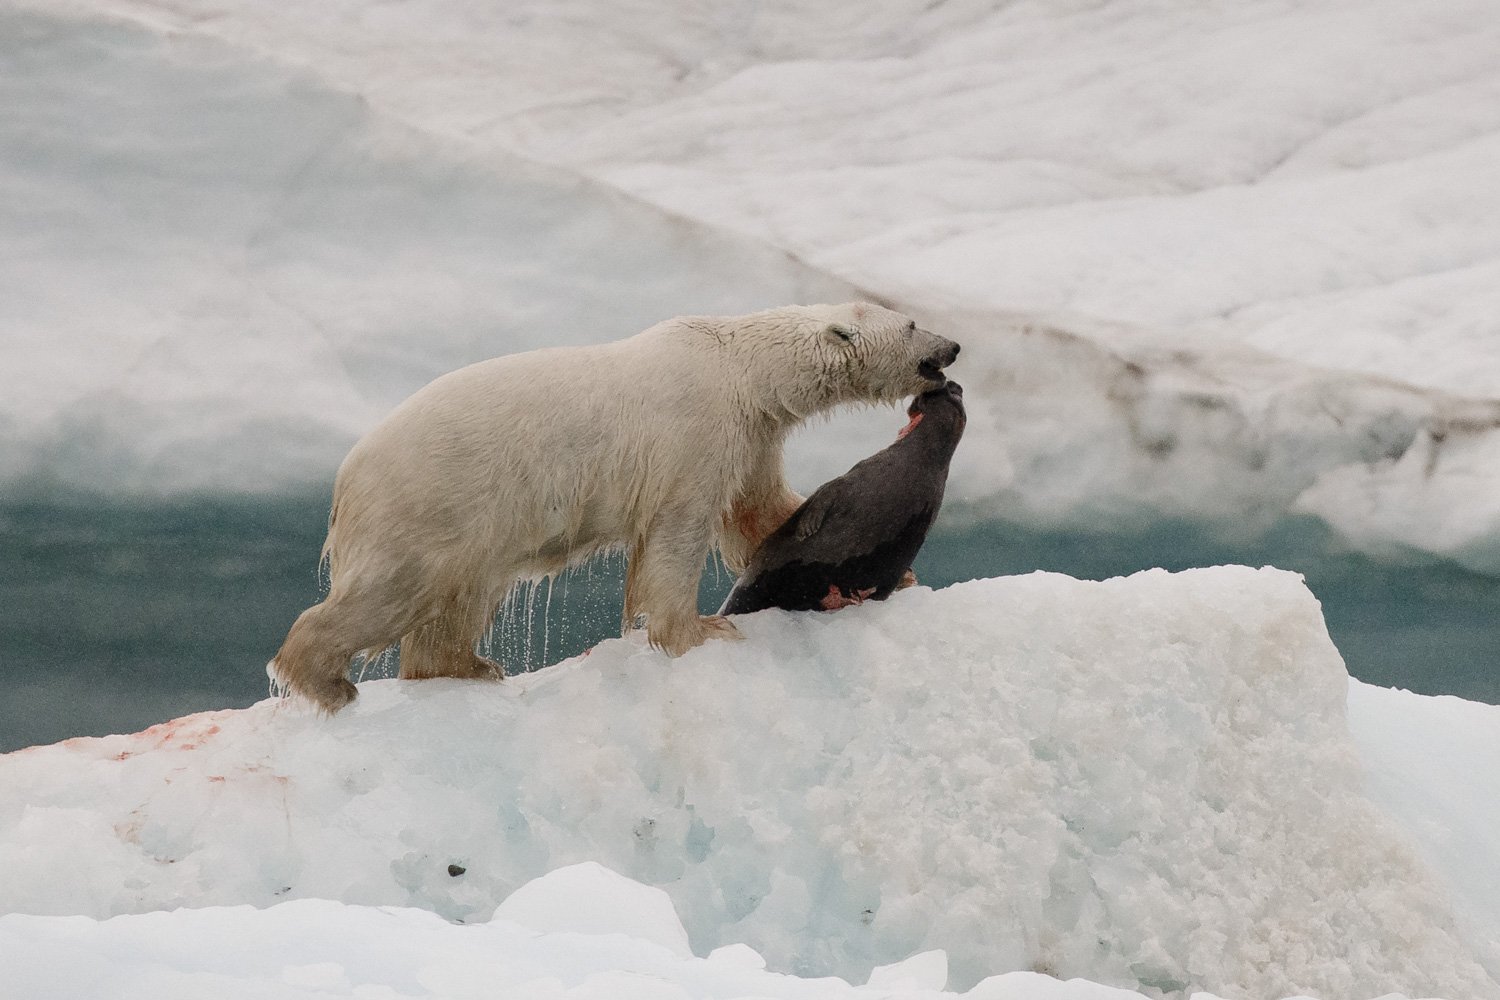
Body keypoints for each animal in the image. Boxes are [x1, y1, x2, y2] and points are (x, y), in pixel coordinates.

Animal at [270, 302, 960, 710]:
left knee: (461, 598)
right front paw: (700, 631)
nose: (953, 347)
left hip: (471, 526)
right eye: (910, 325)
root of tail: (346, 478)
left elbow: (761, 512)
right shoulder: (694, 430)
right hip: (433, 500)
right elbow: (680, 530)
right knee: (391, 591)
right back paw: (325, 681)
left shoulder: (752, 432)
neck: (740, 365)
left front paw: (897, 572)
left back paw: (468, 666)